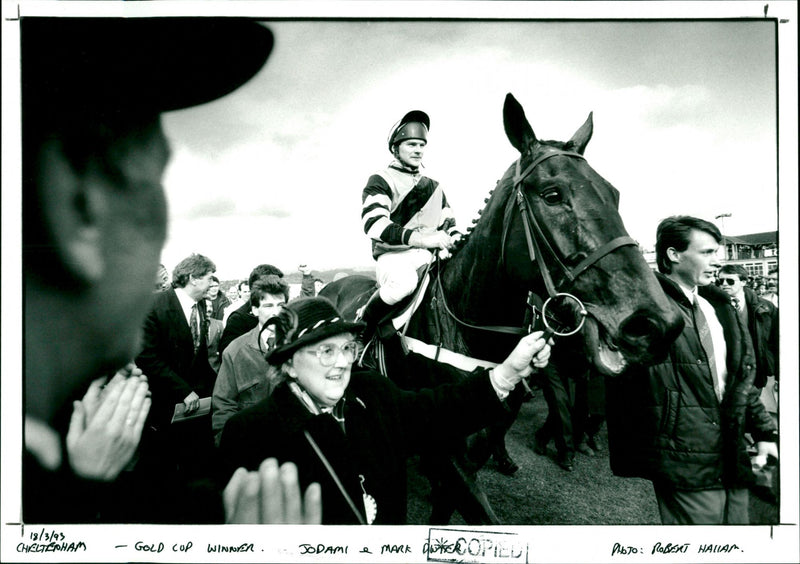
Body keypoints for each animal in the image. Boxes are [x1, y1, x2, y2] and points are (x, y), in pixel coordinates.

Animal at [318, 93, 680, 524]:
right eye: (552, 195)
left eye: (615, 194)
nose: (658, 323)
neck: (468, 331)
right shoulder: (448, 451)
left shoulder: (473, 447)